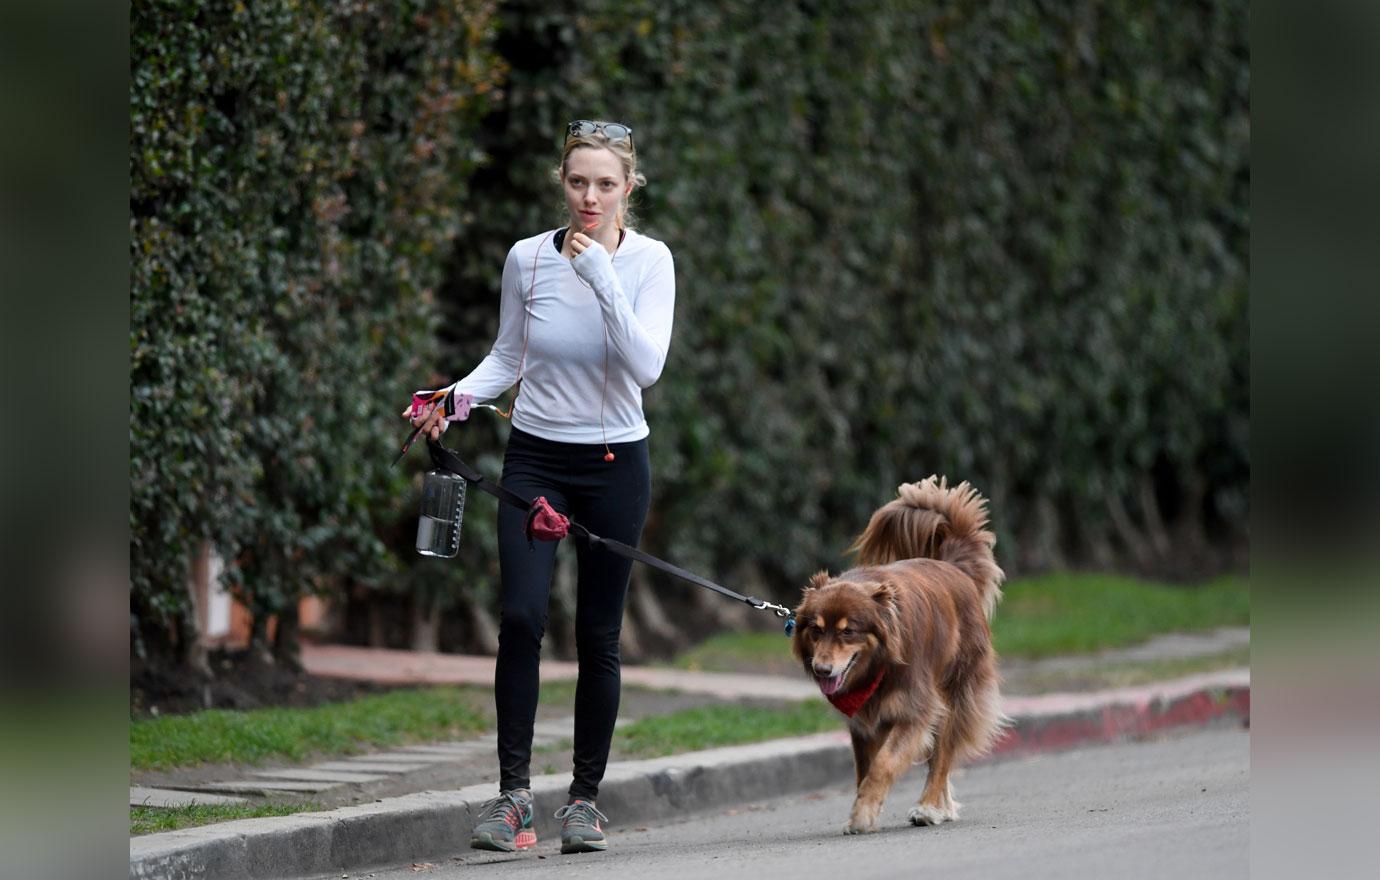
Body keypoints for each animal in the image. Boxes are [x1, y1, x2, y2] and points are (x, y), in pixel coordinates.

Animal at [794, 480, 1010, 838]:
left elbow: (883, 764)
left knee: (941, 758)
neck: (877, 667)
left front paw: (862, 815)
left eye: (848, 632)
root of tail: (955, 568)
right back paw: (943, 807)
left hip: (954, 695)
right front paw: (864, 809)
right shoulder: (864, 722)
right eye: (816, 630)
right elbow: (864, 770)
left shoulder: (914, 711)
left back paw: (929, 806)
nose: (822, 669)